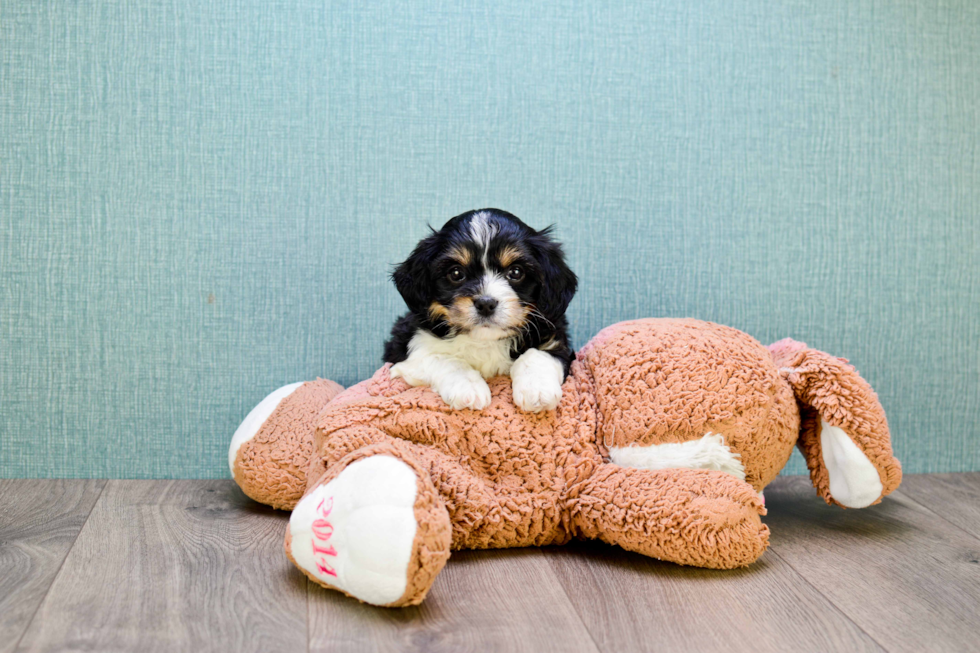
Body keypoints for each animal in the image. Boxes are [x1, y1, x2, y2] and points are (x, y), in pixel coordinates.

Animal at [382, 209, 580, 412]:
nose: (486, 304)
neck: (485, 340)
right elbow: (442, 358)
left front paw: (538, 390)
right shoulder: (406, 350)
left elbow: (537, 354)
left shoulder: (554, 337)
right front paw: (468, 387)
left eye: (516, 272)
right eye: (456, 273)